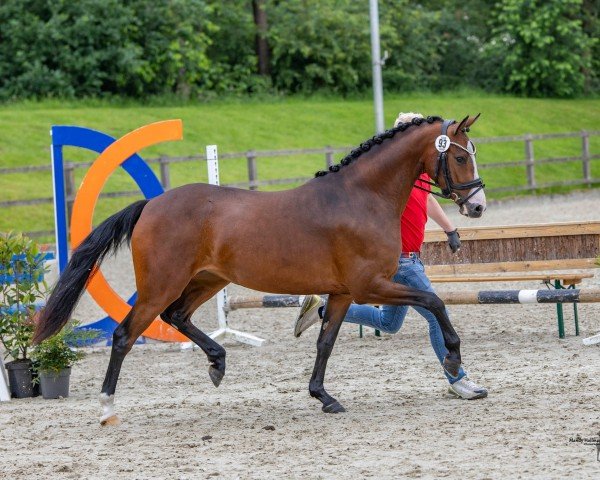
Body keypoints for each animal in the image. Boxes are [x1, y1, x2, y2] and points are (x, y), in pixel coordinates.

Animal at [32, 114, 486, 426]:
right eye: (459, 156)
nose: (477, 206)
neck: (361, 197)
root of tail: (153, 205)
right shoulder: (370, 285)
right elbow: (435, 302)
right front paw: (452, 360)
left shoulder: (343, 293)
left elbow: (325, 342)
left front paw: (323, 396)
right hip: (161, 285)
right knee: (125, 335)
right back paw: (107, 408)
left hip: (208, 280)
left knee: (176, 316)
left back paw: (218, 362)